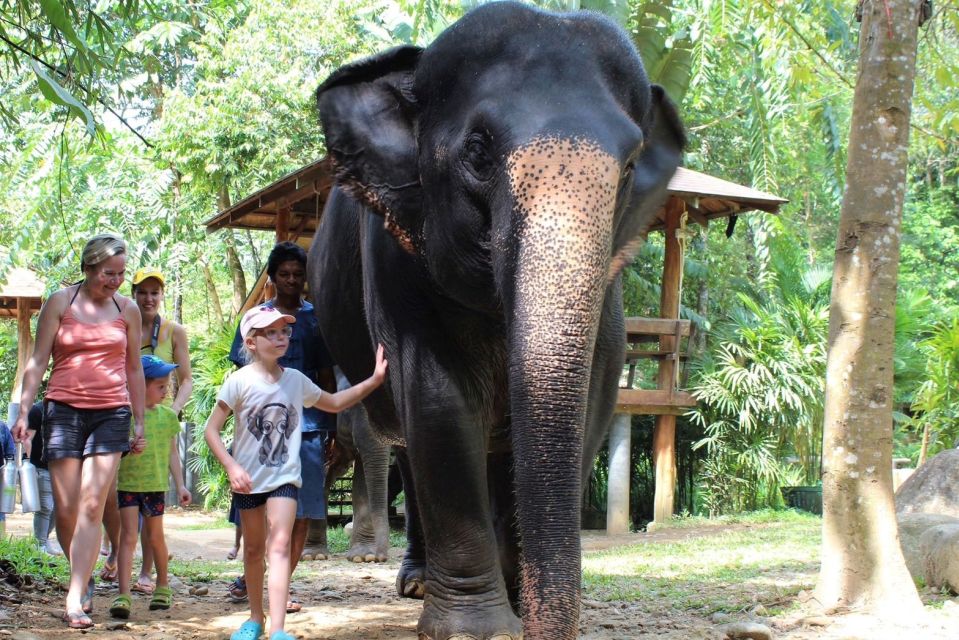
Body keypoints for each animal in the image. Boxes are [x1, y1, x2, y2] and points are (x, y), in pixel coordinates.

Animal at [307, 3, 685, 640]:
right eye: (479, 154)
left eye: (631, 166)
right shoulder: (397, 261)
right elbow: (439, 403)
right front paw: (475, 629)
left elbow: (592, 401)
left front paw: (516, 606)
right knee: (409, 451)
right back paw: (416, 584)